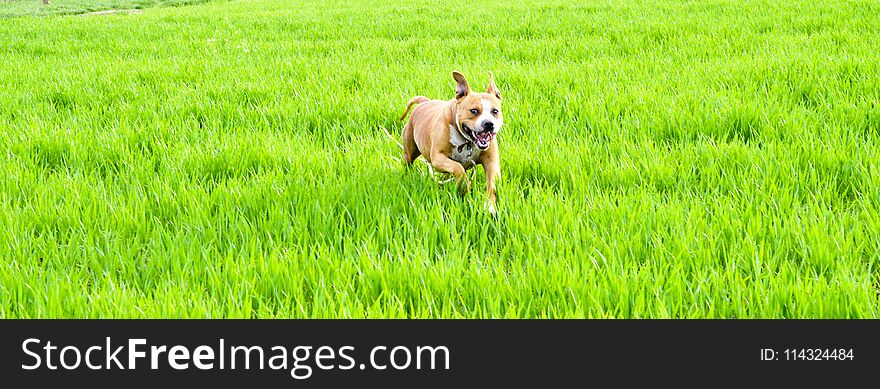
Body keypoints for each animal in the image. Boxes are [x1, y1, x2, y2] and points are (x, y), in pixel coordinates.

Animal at [398, 71, 502, 214]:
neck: (467, 141)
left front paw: (489, 206)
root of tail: (424, 102)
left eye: (495, 111)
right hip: (410, 151)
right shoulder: (437, 158)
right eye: (474, 111)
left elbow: (492, 184)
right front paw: (464, 186)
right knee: (408, 162)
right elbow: (457, 167)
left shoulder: (491, 161)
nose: (489, 124)